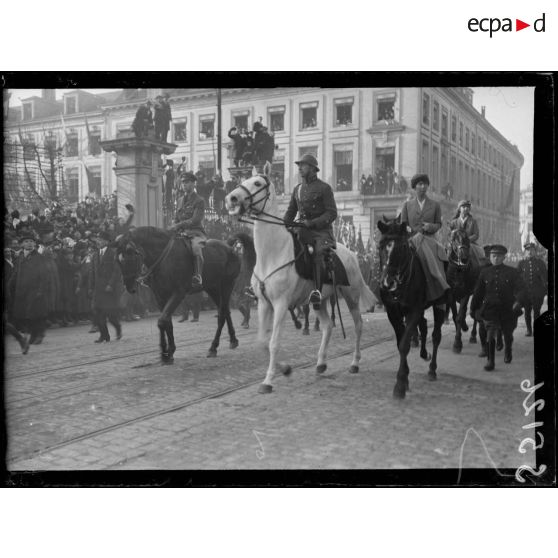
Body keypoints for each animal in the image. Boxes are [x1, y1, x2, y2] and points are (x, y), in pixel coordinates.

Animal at [115, 226, 242, 364]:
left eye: (131, 256)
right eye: (118, 261)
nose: (129, 287)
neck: (165, 258)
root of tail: (230, 248)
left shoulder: (178, 293)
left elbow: (162, 321)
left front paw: (165, 353)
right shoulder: (160, 297)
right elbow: (167, 322)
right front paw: (169, 352)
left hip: (227, 285)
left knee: (222, 314)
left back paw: (213, 347)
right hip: (212, 288)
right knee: (225, 311)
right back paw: (233, 340)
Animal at [225, 168, 378, 392]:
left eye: (257, 183)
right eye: (244, 180)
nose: (231, 198)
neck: (272, 253)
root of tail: (351, 254)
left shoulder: (281, 304)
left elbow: (274, 343)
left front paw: (268, 381)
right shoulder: (263, 303)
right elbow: (262, 341)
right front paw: (285, 369)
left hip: (351, 296)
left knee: (358, 325)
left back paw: (354, 363)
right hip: (319, 300)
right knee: (328, 326)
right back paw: (321, 363)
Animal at [378, 220, 448, 402]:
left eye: (402, 246)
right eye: (380, 245)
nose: (388, 283)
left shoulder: (414, 311)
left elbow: (404, 345)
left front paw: (400, 385)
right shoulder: (392, 313)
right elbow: (400, 342)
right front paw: (405, 378)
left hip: (441, 304)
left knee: (436, 336)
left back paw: (432, 369)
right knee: (423, 326)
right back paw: (424, 353)